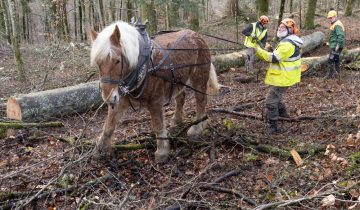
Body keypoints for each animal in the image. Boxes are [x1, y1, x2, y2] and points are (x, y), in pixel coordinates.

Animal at [89, 20, 219, 162]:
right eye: (98, 63)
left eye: (117, 61)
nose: (108, 98)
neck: (141, 66)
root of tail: (196, 34)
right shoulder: (119, 101)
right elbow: (108, 127)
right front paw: (99, 150)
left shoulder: (155, 101)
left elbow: (158, 126)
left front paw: (162, 152)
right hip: (179, 80)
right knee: (181, 97)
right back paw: (177, 120)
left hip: (199, 77)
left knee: (201, 101)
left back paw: (197, 128)